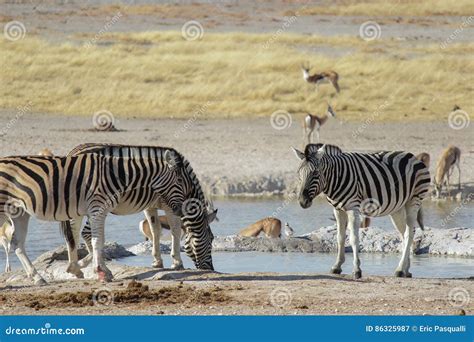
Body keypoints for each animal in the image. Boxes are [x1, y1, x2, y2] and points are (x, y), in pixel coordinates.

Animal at [0, 152, 191, 284]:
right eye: (180, 182)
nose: (180, 210)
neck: (119, 175)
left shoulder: (99, 210)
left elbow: (97, 240)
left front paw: (91, 269)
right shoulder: (97, 208)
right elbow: (97, 240)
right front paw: (101, 272)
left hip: (19, 211)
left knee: (17, 244)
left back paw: (37, 278)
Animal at [61, 143, 218, 276]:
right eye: (211, 240)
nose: (211, 269)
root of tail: (73, 151)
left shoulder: (150, 206)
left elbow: (155, 230)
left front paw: (157, 262)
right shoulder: (170, 205)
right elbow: (175, 230)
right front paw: (177, 263)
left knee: (74, 233)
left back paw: (79, 265)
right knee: (85, 232)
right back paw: (93, 262)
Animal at [290, 143, 432, 280]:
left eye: (315, 173)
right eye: (298, 174)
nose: (302, 201)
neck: (335, 178)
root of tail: (413, 156)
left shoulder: (353, 208)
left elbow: (353, 238)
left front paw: (356, 270)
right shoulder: (338, 210)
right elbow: (340, 237)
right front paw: (337, 266)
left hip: (414, 200)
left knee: (409, 234)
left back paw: (400, 269)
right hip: (397, 208)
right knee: (404, 233)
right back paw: (405, 269)